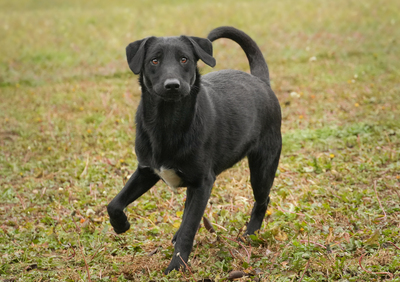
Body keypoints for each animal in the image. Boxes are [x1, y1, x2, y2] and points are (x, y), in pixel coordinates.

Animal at [106, 25, 282, 274]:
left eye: (184, 59)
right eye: (154, 60)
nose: (172, 85)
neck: (167, 122)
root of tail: (260, 80)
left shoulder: (203, 183)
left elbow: (189, 228)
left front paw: (176, 266)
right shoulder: (147, 170)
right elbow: (114, 204)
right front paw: (120, 225)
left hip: (262, 167)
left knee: (262, 201)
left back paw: (250, 235)